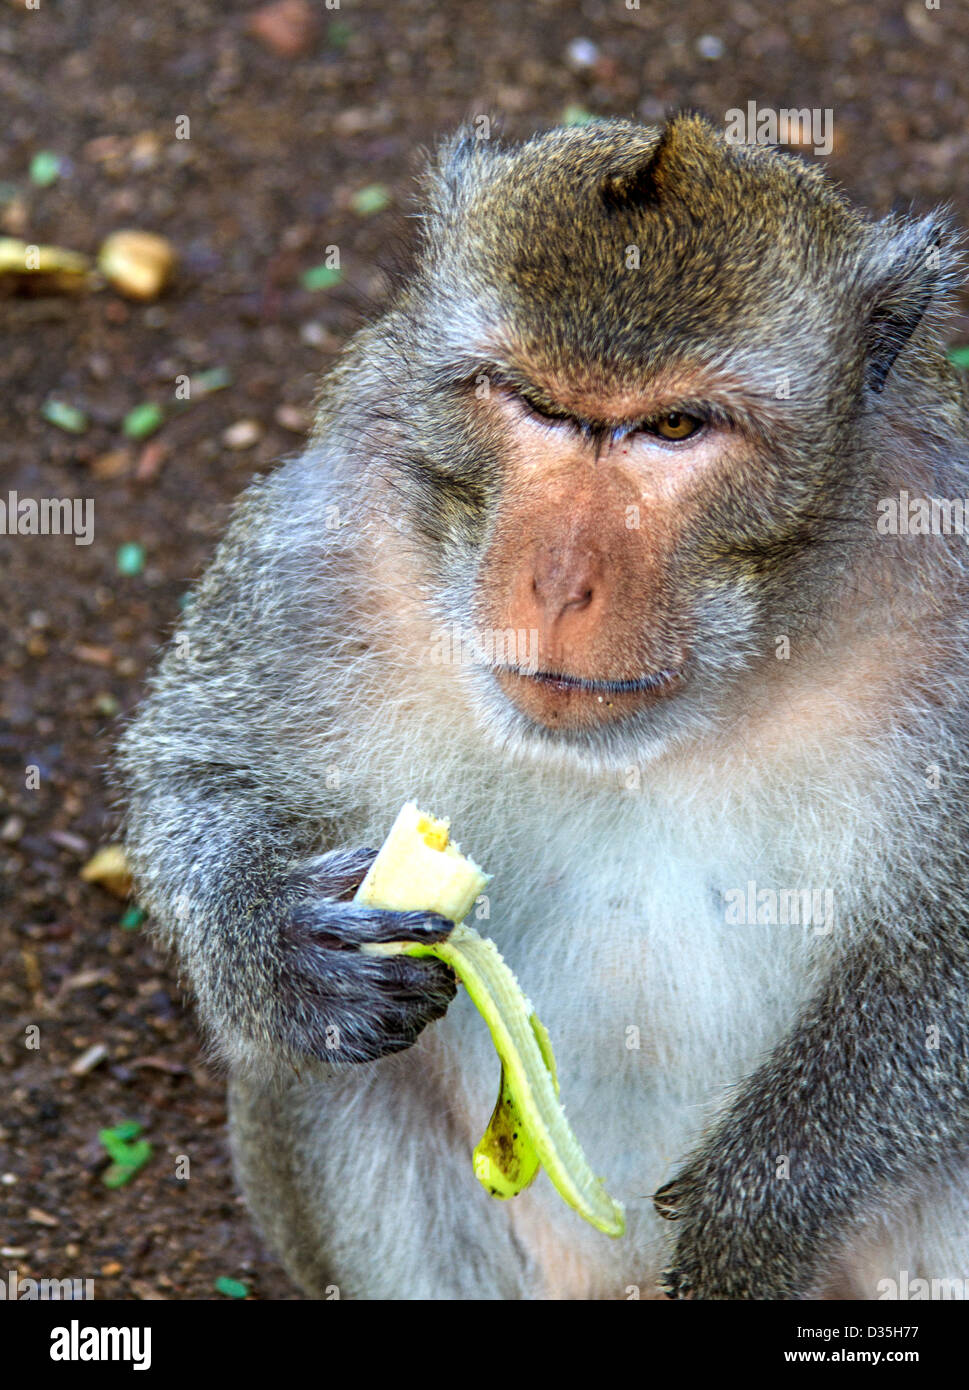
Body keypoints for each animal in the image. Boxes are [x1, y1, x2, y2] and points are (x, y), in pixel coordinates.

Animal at [117, 111, 967, 1301]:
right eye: (528, 401)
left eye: (674, 427)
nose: (559, 583)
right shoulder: (324, 535)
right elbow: (195, 768)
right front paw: (282, 949)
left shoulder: (948, 597)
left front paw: (765, 1197)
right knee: (309, 1071)